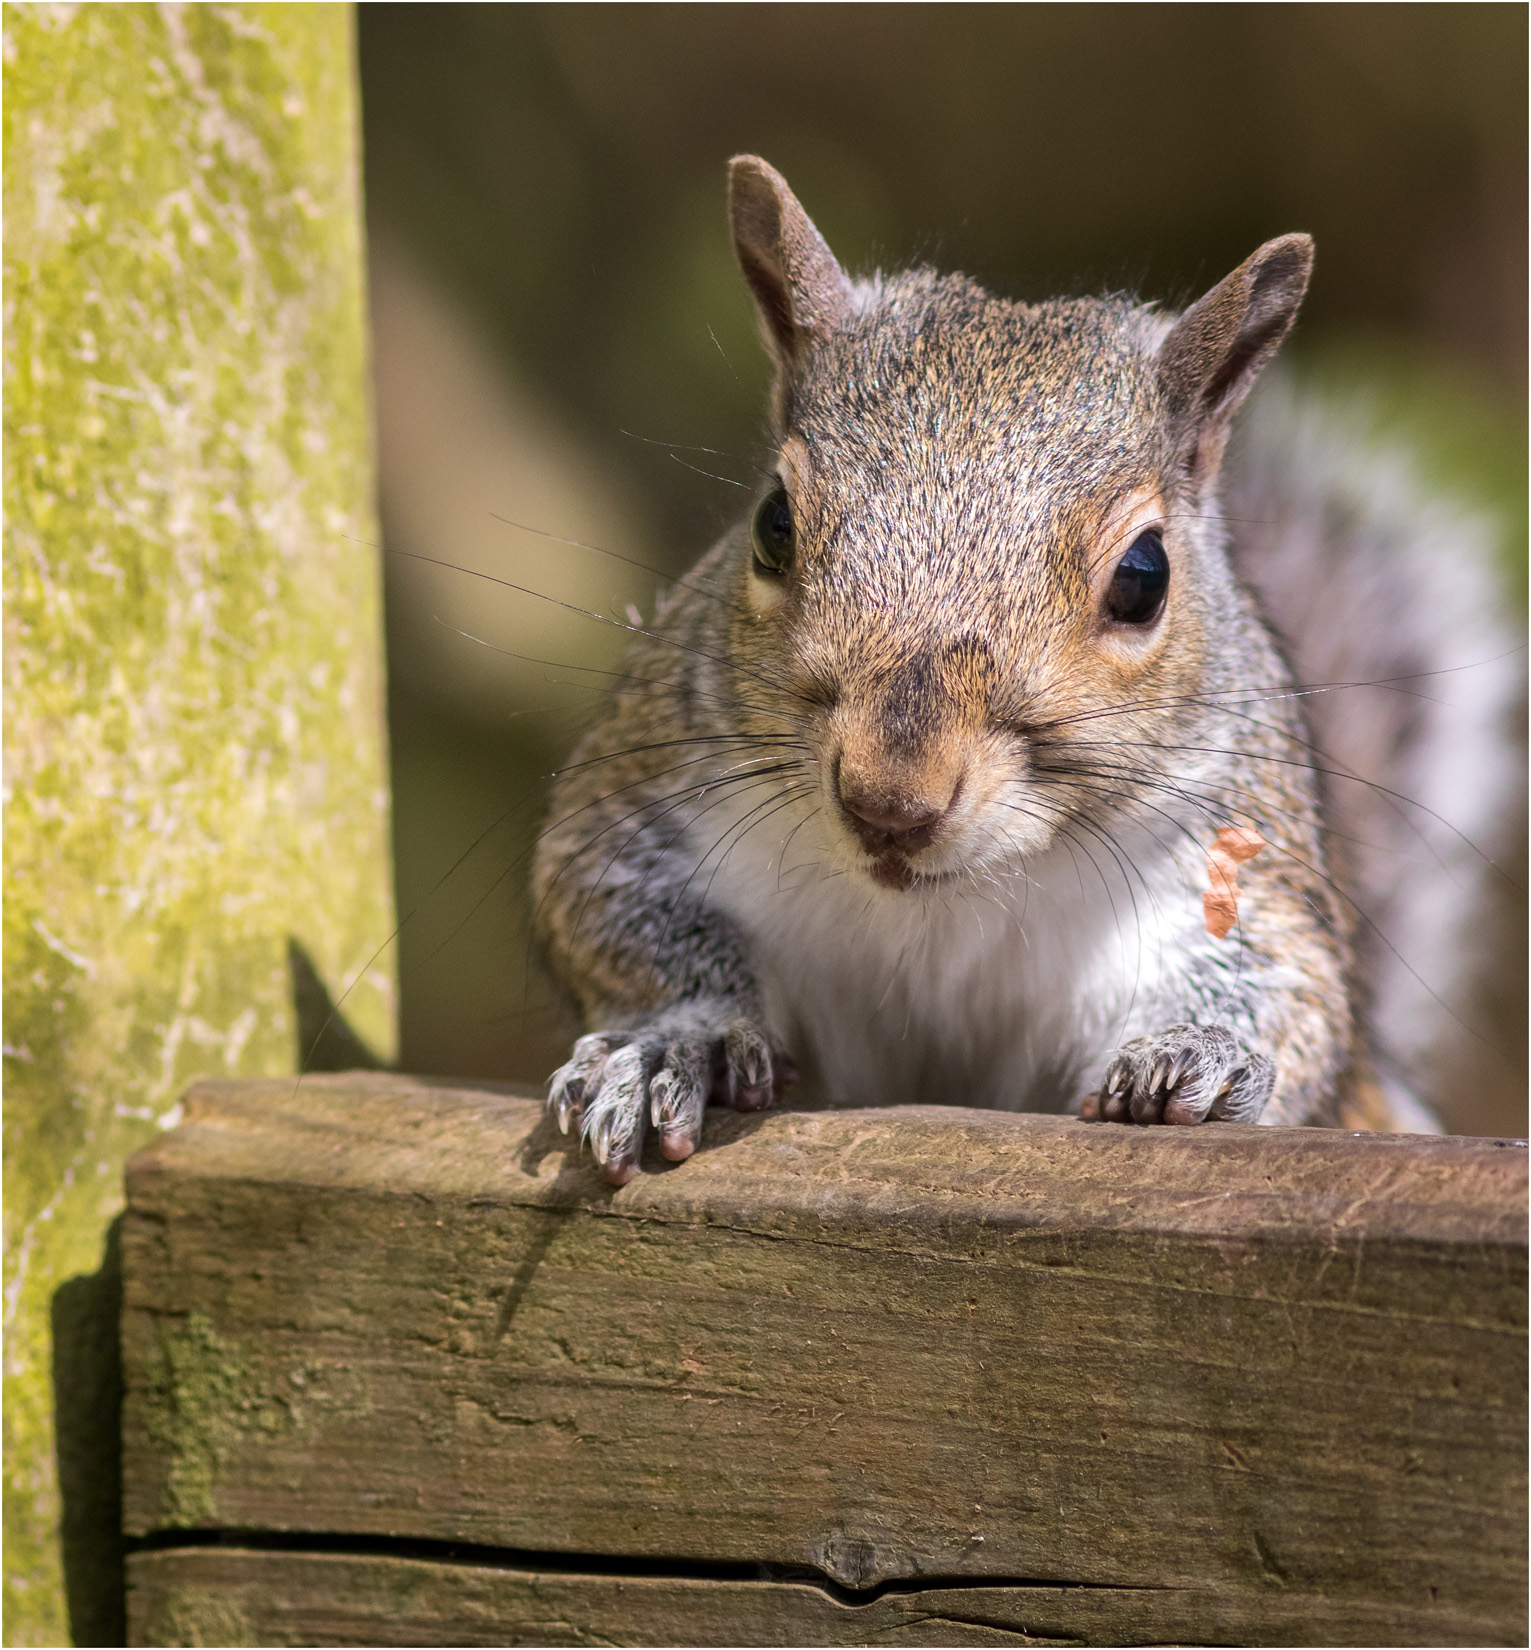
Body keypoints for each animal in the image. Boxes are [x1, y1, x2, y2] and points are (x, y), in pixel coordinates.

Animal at [532, 155, 1519, 1184]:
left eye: (1143, 577)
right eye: (772, 524)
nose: (889, 804)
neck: (948, 898)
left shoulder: (1237, 860)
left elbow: (1288, 993)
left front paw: (1200, 1055)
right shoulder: (649, 793)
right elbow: (607, 908)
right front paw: (674, 1041)